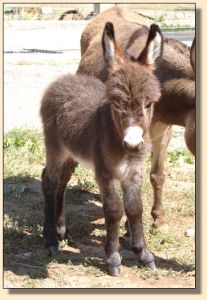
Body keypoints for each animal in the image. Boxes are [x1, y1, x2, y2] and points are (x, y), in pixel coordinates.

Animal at [40, 22, 163, 276]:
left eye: (149, 104)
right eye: (116, 104)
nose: (133, 144)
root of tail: (62, 80)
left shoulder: (134, 172)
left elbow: (135, 208)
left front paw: (143, 254)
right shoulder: (105, 173)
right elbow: (114, 209)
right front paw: (113, 258)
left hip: (72, 152)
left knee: (61, 181)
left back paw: (61, 230)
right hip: (55, 147)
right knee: (49, 181)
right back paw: (50, 241)